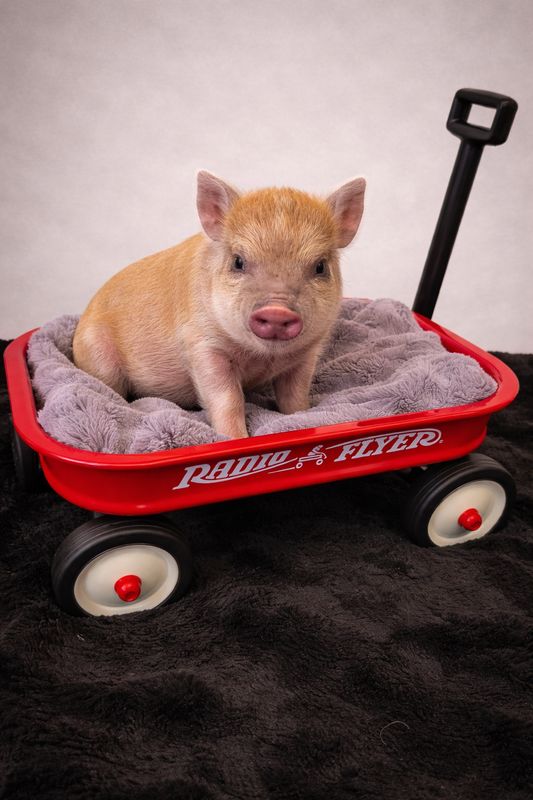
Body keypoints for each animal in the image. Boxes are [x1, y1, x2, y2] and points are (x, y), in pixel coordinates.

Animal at [73, 171, 366, 440]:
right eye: (238, 261)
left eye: (320, 266)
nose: (276, 310)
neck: (262, 359)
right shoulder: (202, 345)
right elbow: (227, 398)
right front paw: (235, 439)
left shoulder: (307, 354)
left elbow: (295, 396)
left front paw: (300, 418)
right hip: (98, 358)